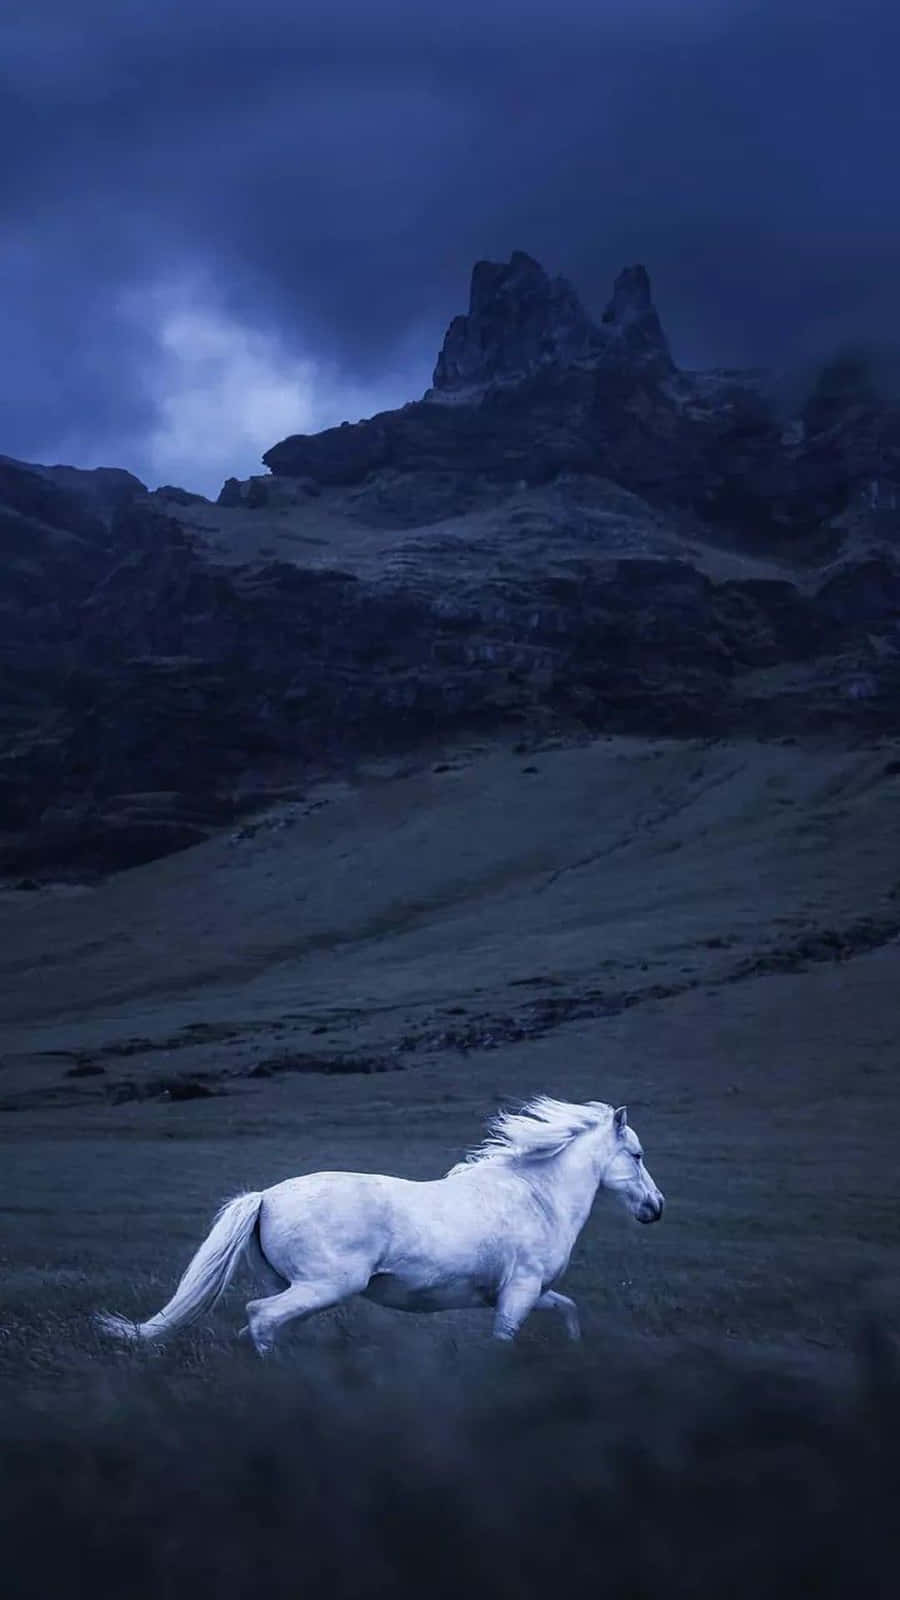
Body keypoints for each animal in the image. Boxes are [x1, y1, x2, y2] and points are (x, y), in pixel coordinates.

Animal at [95, 1096, 664, 1352]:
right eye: (637, 1155)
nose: (656, 1208)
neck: (536, 1197)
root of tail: (265, 1197)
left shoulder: (522, 1292)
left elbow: (568, 1309)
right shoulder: (519, 1291)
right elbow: (504, 1340)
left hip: (294, 1285)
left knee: (262, 1323)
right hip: (327, 1285)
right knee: (260, 1318)